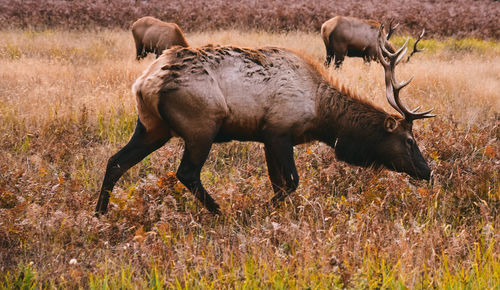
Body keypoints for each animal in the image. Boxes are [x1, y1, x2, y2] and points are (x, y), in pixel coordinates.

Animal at [95, 26, 436, 215]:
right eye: (409, 140)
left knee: (116, 161)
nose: (427, 171)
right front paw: (260, 210)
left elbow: (277, 183)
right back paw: (221, 213)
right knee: (186, 173)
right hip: (200, 127)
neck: (321, 114)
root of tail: (144, 83)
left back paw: (99, 213)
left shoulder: (266, 138)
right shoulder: (278, 131)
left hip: (151, 126)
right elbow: (290, 182)